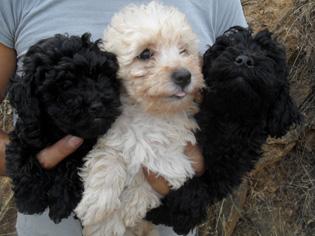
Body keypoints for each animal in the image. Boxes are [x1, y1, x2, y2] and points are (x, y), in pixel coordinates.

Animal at [6, 33, 122, 223]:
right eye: (66, 85)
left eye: (101, 76)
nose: (97, 105)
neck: (59, 131)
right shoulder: (26, 132)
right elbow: (21, 157)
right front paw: (29, 199)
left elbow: (72, 166)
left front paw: (61, 202)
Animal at [148, 26, 304, 233]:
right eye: (228, 46)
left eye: (268, 55)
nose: (244, 60)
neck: (230, 117)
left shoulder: (229, 169)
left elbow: (203, 190)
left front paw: (179, 215)